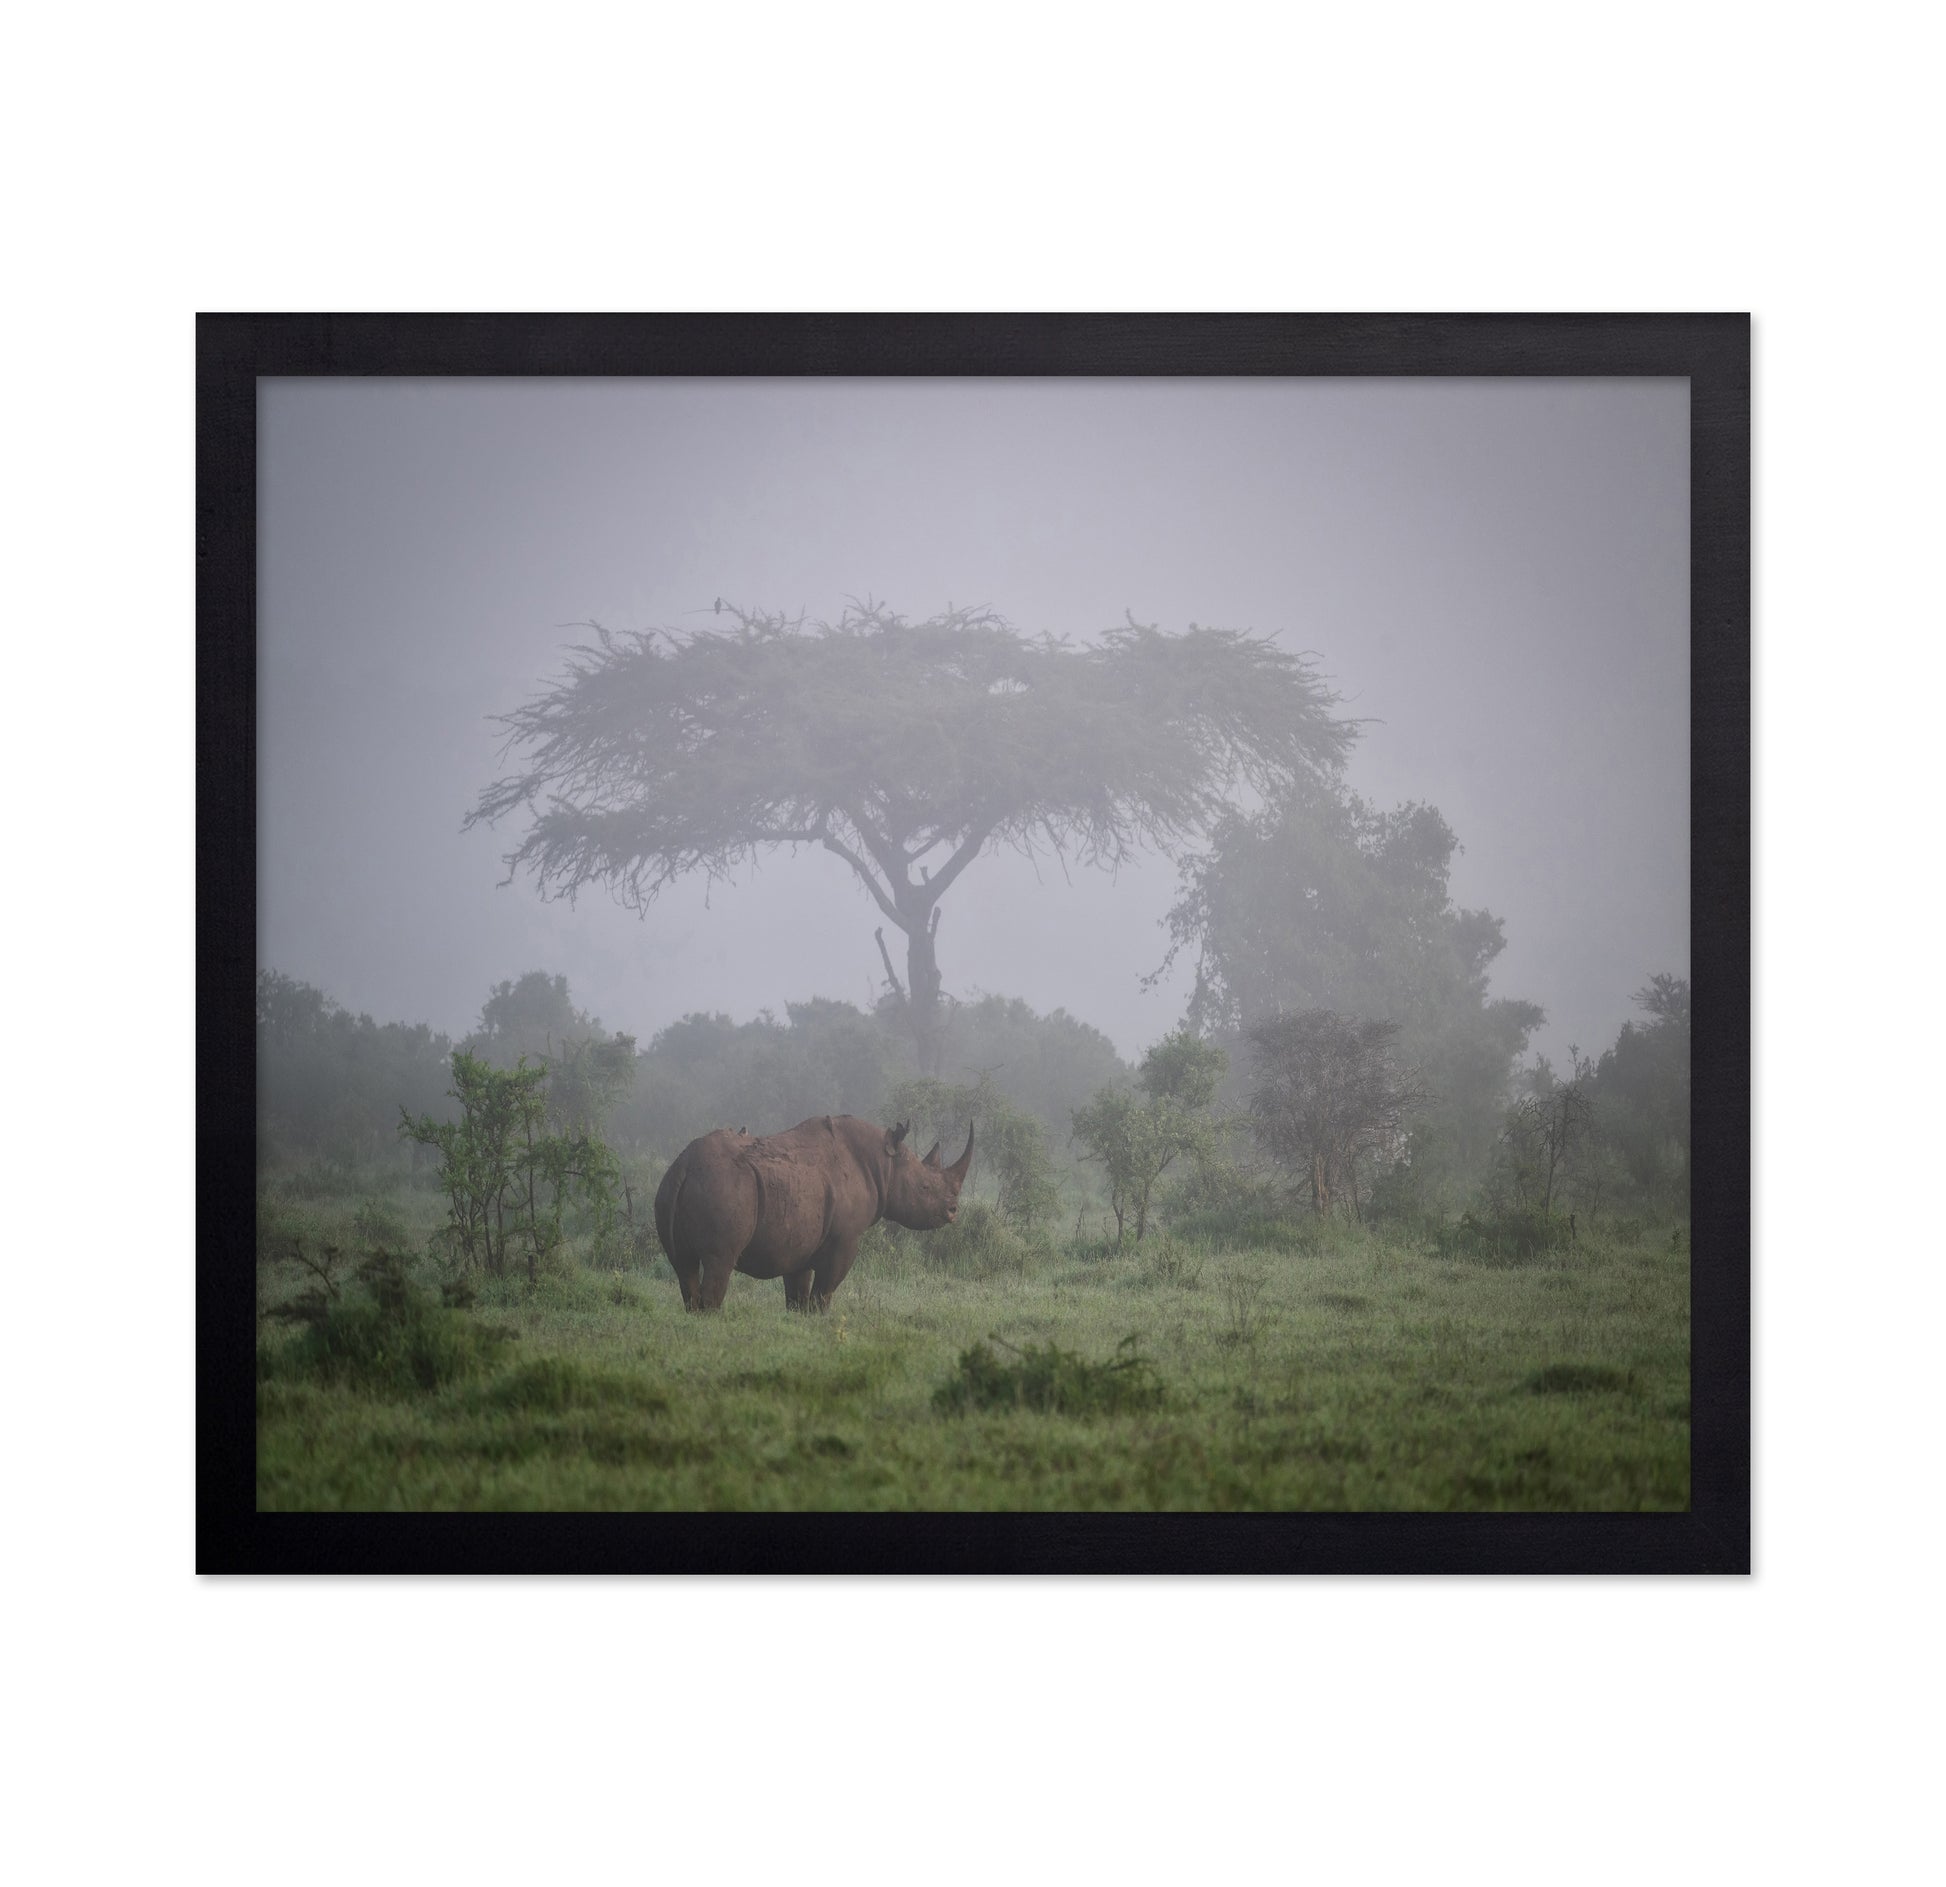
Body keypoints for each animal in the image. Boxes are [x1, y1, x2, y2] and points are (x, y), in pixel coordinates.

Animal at [653, 1115, 974, 1311]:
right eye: (925, 1187)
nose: (953, 1211)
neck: (884, 1165)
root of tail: (684, 1167)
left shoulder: (799, 1241)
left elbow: (798, 1295)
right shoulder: (845, 1239)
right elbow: (824, 1291)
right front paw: (821, 1324)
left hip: (669, 1190)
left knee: (683, 1266)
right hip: (725, 1186)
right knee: (720, 1260)